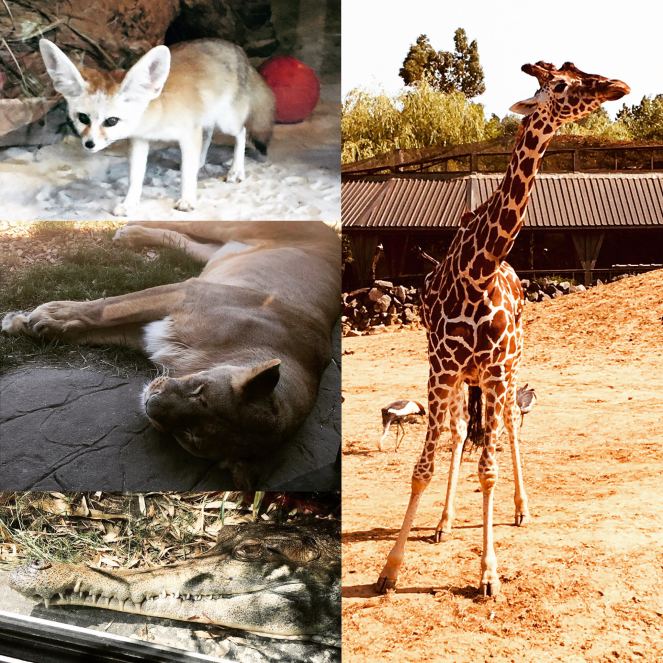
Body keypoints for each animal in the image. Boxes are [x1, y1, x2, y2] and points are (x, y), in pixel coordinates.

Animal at [1, 221, 340, 487]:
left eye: (191, 436)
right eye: (198, 391)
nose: (151, 404)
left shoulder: (151, 329)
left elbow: (92, 325)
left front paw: (32, 323)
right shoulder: (185, 292)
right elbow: (105, 308)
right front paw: (38, 317)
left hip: (215, 252)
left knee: (186, 241)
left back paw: (131, 235)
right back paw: (128, 230)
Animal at [39, 38, 276, 215]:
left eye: (111, 121)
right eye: (83, 118)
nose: (89, 144)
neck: (156, 117)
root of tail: (237, 48)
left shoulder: (188, 134)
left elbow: (187, 173)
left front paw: (187, 199)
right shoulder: (140, 141)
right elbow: (136, 177)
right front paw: (129, 203)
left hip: (227, 122)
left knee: (241, 133)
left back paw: (236, 170)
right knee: (208, 134)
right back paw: (201, 161)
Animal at [376, 62, 630, 597]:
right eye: (560, 84)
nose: (617, 86)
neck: (481, 269)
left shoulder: (493, 369)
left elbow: (488, 469)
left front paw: (488, 573)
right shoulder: (441, 369)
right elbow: (425, 466)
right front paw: (391, 569)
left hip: (510, 370)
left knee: (510, 424)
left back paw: (521, 509)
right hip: (464, 378)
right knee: (458, 432)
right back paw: (444, 522)